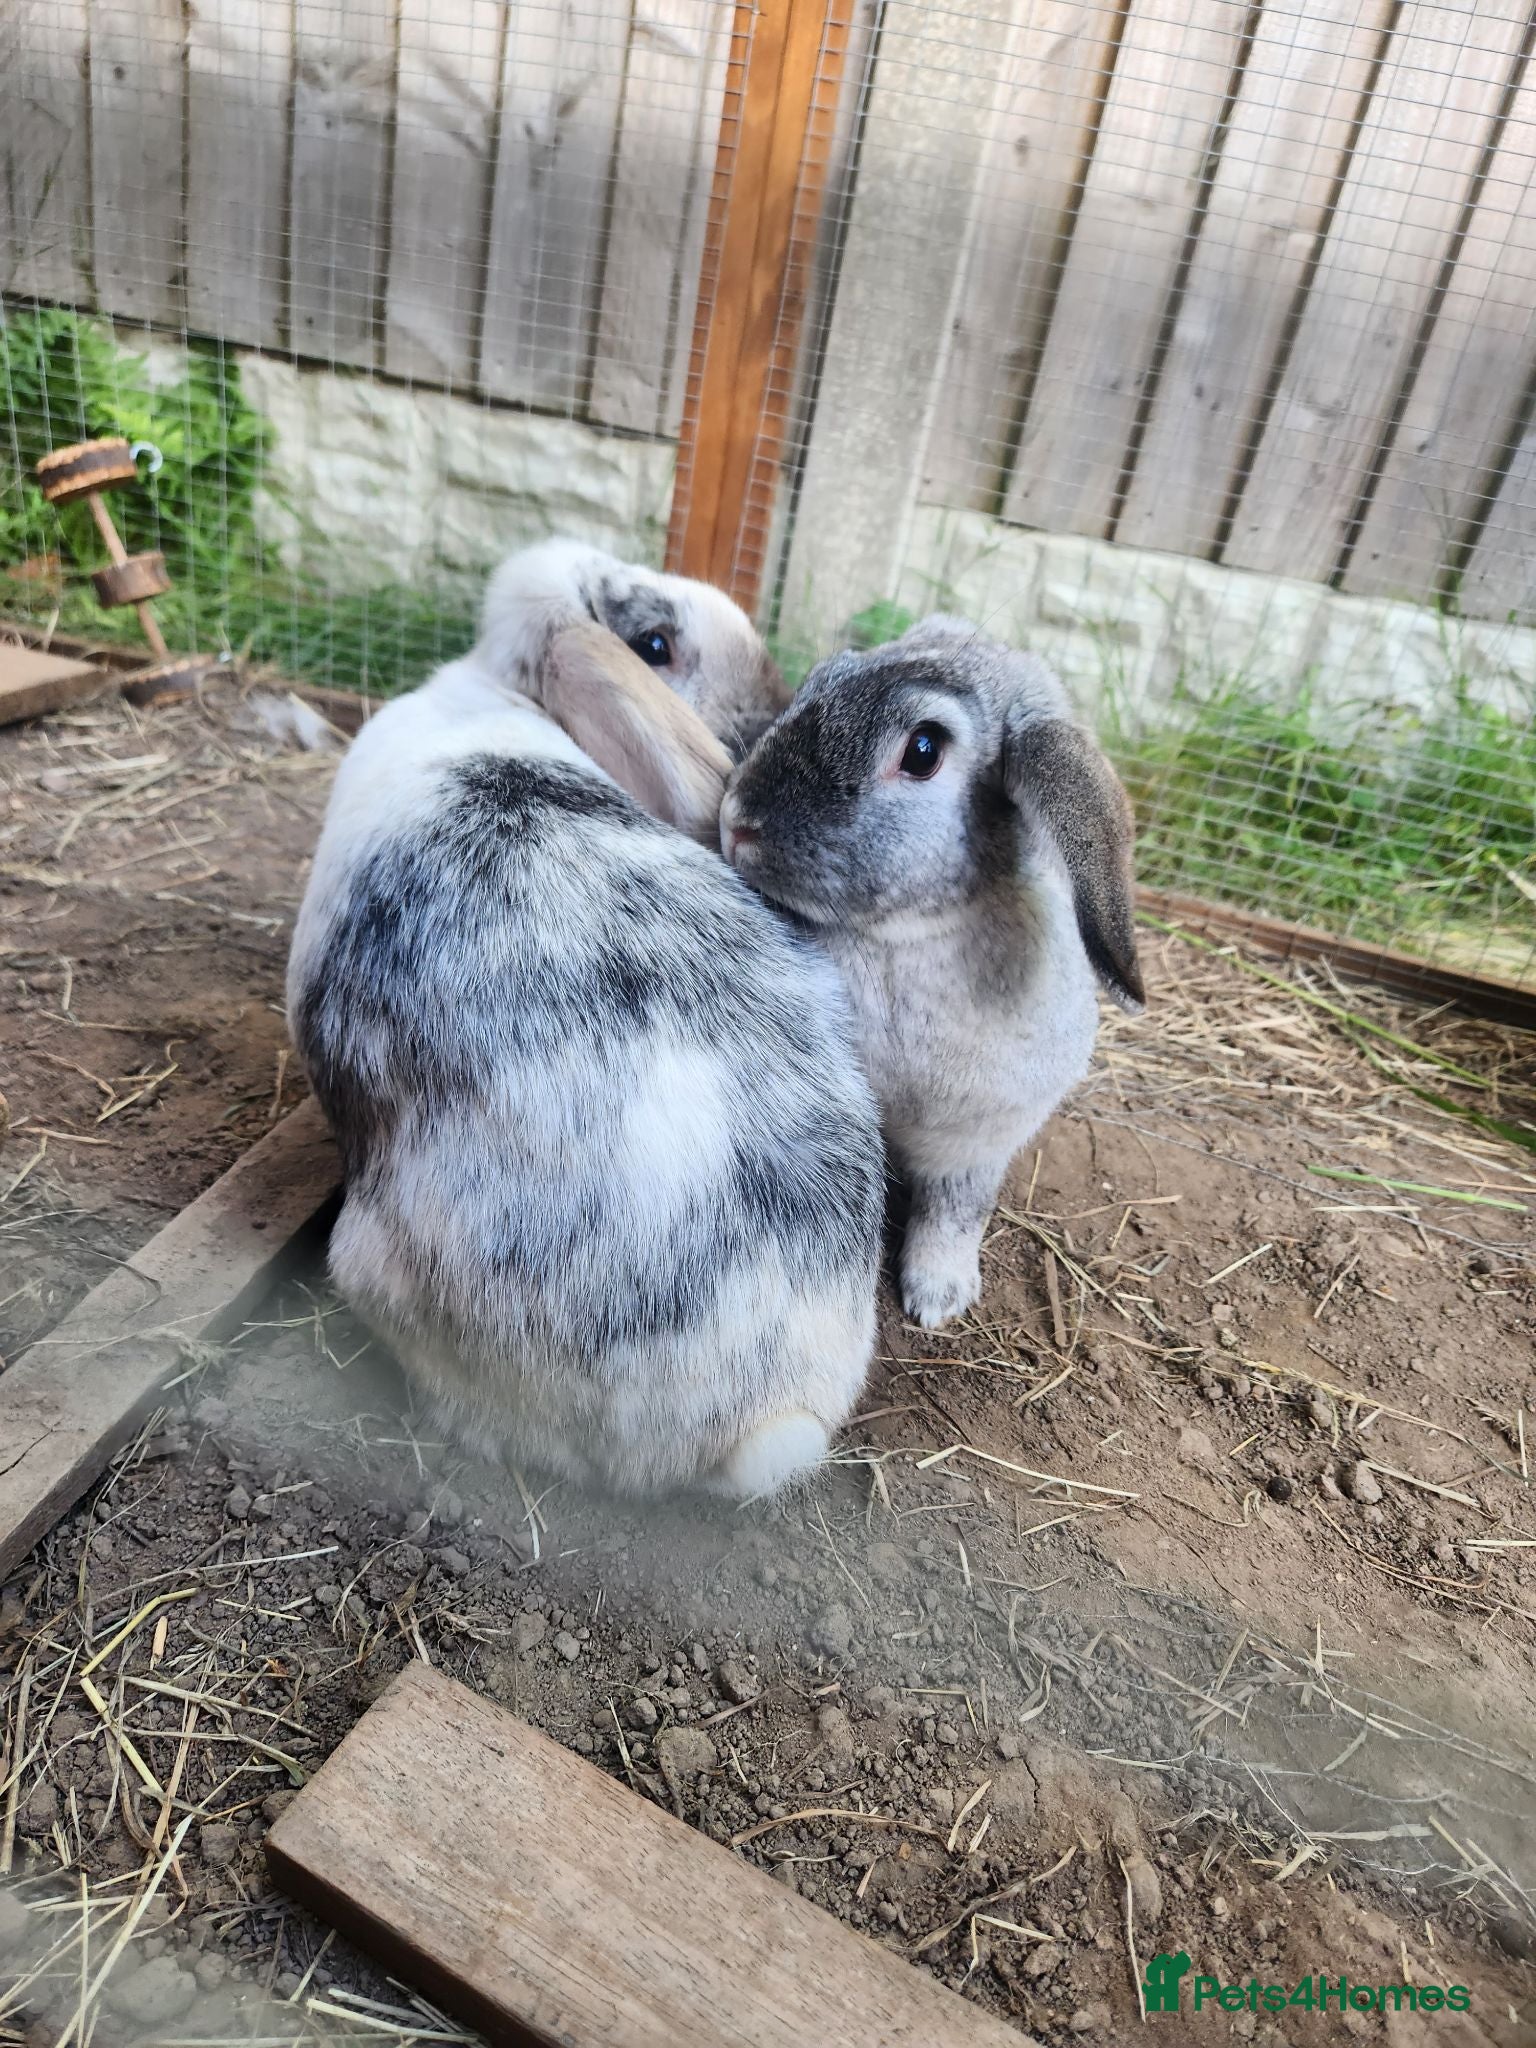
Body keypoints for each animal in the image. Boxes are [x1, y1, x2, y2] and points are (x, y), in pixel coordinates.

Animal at [717, 615, 1144, 1330]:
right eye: (823, 677)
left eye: (922, 751)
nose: (736, 821)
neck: (906, 934)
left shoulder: (975, 1144)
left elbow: (954, 1215)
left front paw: (936, 1299)